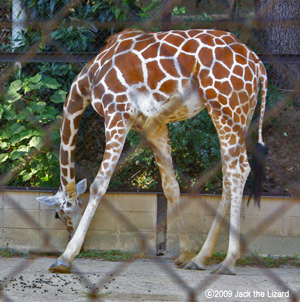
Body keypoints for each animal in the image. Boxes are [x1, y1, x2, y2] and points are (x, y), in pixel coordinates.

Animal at [36, 27, 268, 274]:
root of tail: (257, 65)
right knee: (232, 173)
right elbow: (170, 187)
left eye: (59, 214)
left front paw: (65, 258)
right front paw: (186, 253)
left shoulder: (118, 113)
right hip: (242, 114)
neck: (88, 80)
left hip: (226, 107)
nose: (70, 235)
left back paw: (228, 260)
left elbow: (99, 184)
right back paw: (200, 258)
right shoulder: (154, 125)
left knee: (237, 171)